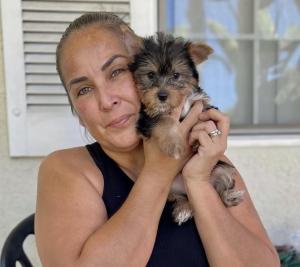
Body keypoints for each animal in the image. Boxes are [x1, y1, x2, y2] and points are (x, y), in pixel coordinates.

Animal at [124, 30, 244, 225]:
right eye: (150, 75)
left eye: (176, 75)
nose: (162, 96)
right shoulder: (147, 118)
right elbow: (165, 120)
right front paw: (174, 144)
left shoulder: (200, 104)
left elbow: (204, 116)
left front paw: (199, 139)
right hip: (169, 187)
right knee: (182, 197)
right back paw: (184, 209)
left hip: (220, 170)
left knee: (218, 188)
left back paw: (230, 197)